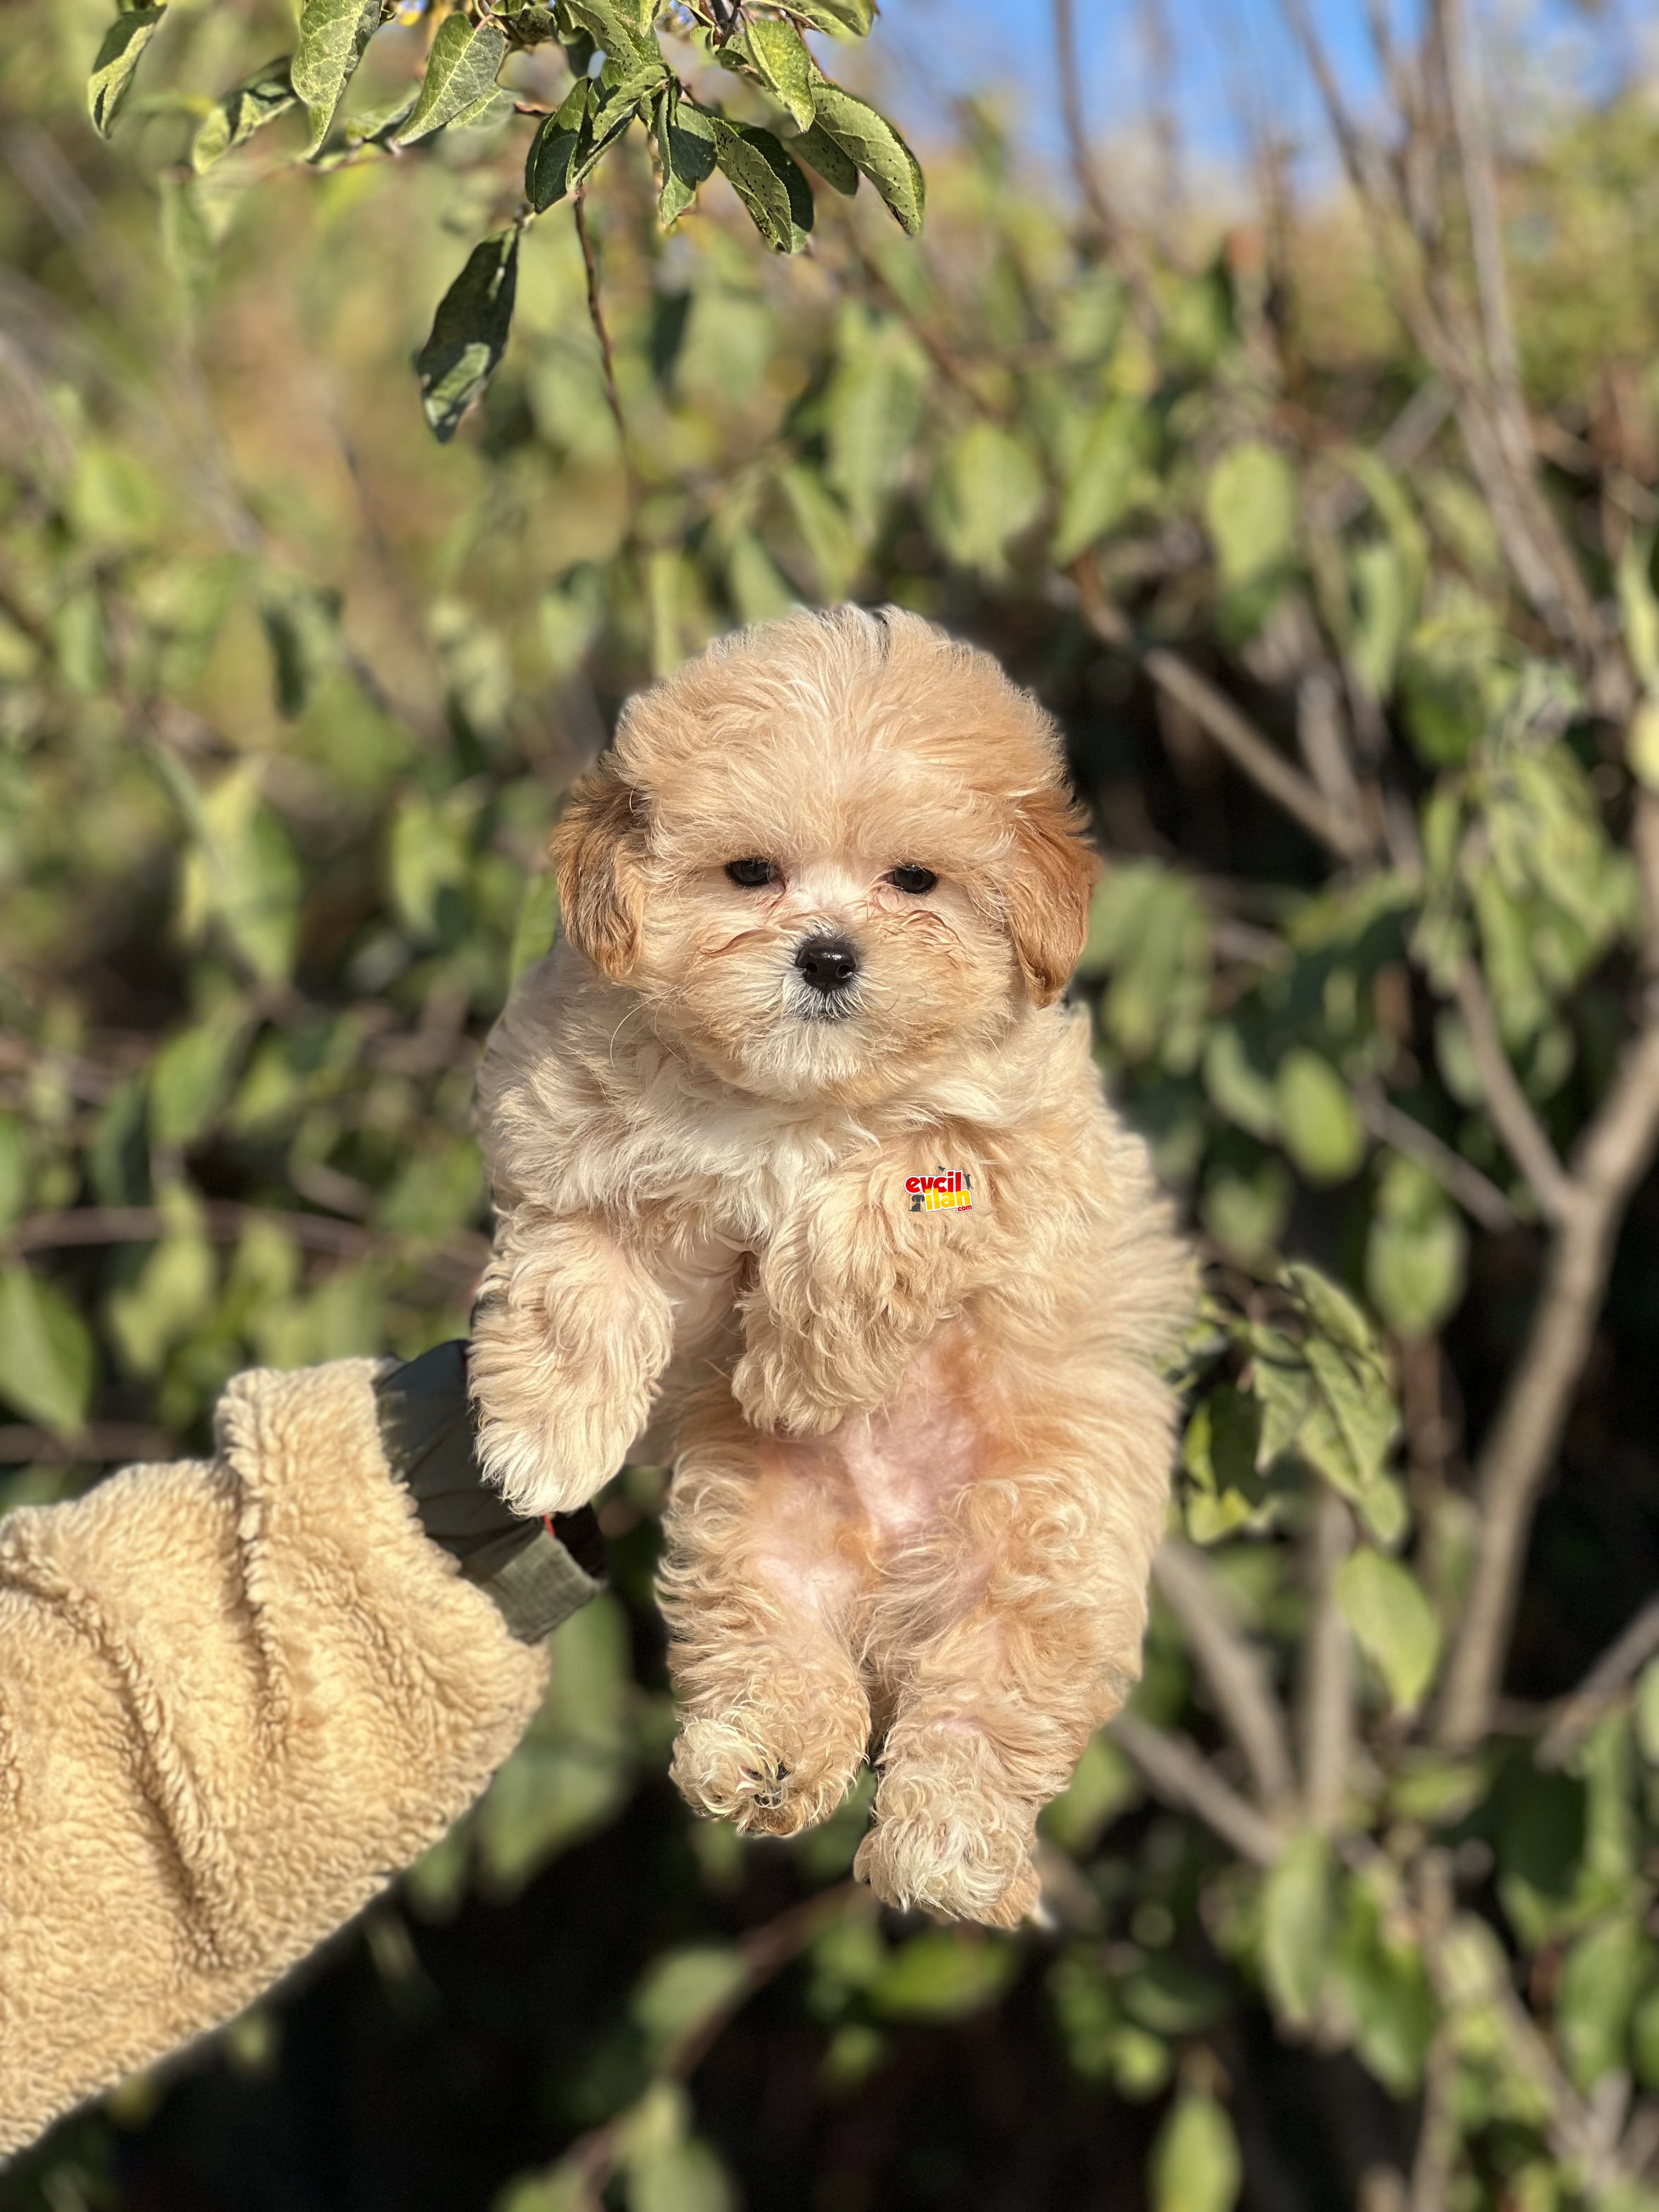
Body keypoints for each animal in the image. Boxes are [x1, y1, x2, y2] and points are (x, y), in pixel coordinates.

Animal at [473, 614, 1186, 1928]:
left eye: (914, 881)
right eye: (750, 873)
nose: (826, 955)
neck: (793, 1103)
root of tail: (888, 1600)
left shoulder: (1016, 1156)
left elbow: (880, 1198)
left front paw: (799, 1373)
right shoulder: (573, 1162)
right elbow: (577, 1288)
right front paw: (543, 1440)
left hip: (1040, 1562)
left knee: (982, 1712)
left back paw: (946, 1854)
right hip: (751, 1549)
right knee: (777, 1660)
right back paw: (761, 1765)